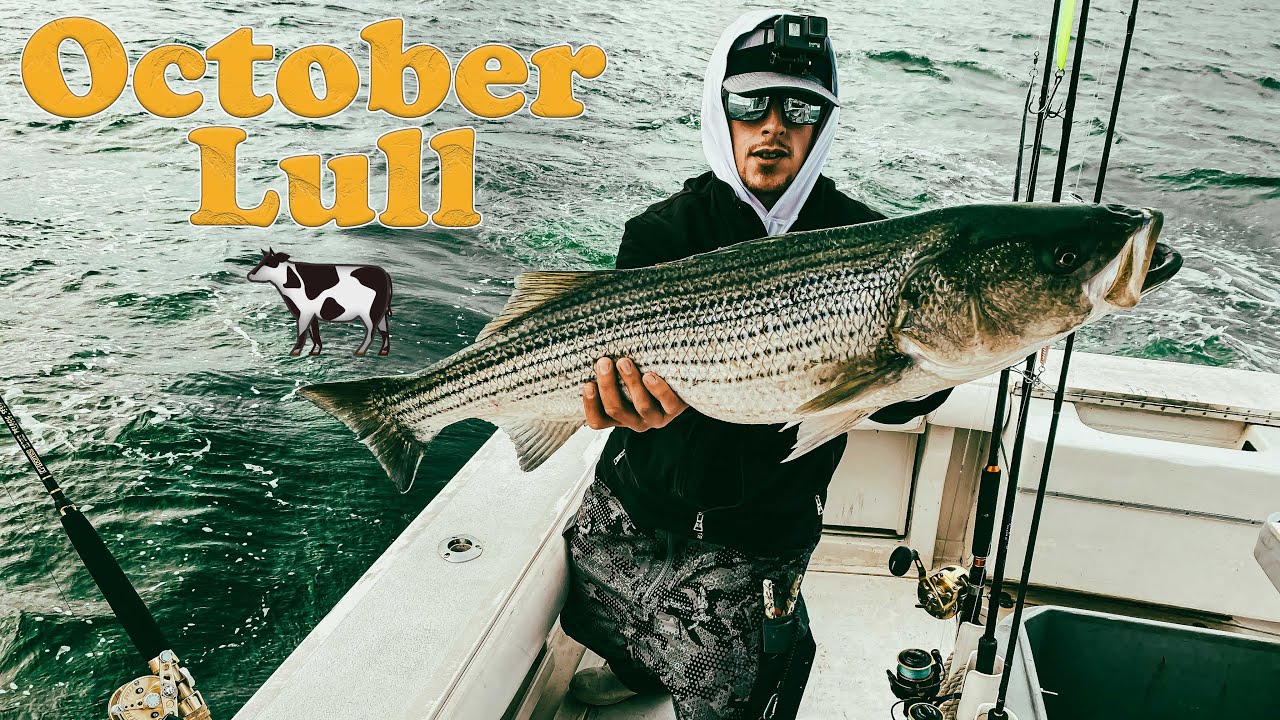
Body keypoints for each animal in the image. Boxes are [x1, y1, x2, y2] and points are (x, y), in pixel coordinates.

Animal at [247, 248, 393, 357]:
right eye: (262, 261)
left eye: (269, 263)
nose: (250, 275)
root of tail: (384, 273)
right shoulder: (310, 312)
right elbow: (314, 333)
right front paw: (315, 351)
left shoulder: (304, 311)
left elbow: (302, 332)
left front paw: (295, 352)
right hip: (379, 311)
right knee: (384, 331)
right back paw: (383, 352)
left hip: (370, 312)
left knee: (371, 331)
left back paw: (360, 351)